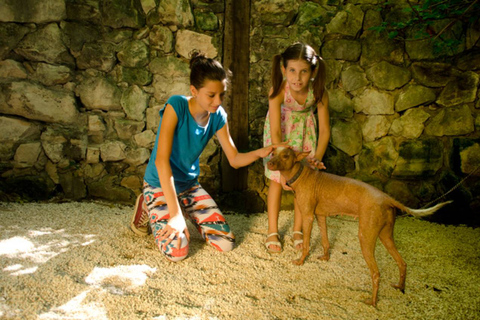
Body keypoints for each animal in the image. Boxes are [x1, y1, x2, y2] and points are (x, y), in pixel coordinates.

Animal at [268, 148, 452, 304]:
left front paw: (301, 261)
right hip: (386, 236)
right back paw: (400, 287)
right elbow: (325, 241)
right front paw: (326, 257)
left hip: (365, 237)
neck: (301, 175)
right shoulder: (320, 216)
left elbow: (306, 244)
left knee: (376, 273)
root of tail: (386, 197)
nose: (269, 163)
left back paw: (372, 302)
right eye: (273, 152)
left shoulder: (308, 217)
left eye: (286, 155)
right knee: (402, 263)